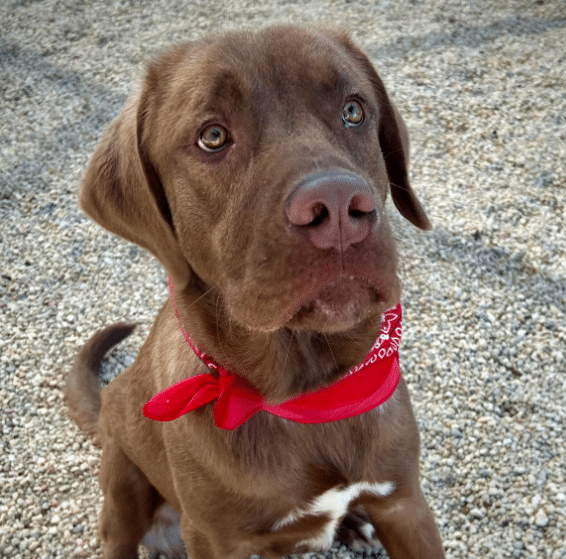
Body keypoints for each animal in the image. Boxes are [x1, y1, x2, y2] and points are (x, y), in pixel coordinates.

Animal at [66, 25, 444, 559]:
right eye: (213, 136)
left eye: (354, 110)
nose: (338, 206)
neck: (307, 394)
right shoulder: (216, 539)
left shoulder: (404, 502)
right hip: (122, 478)